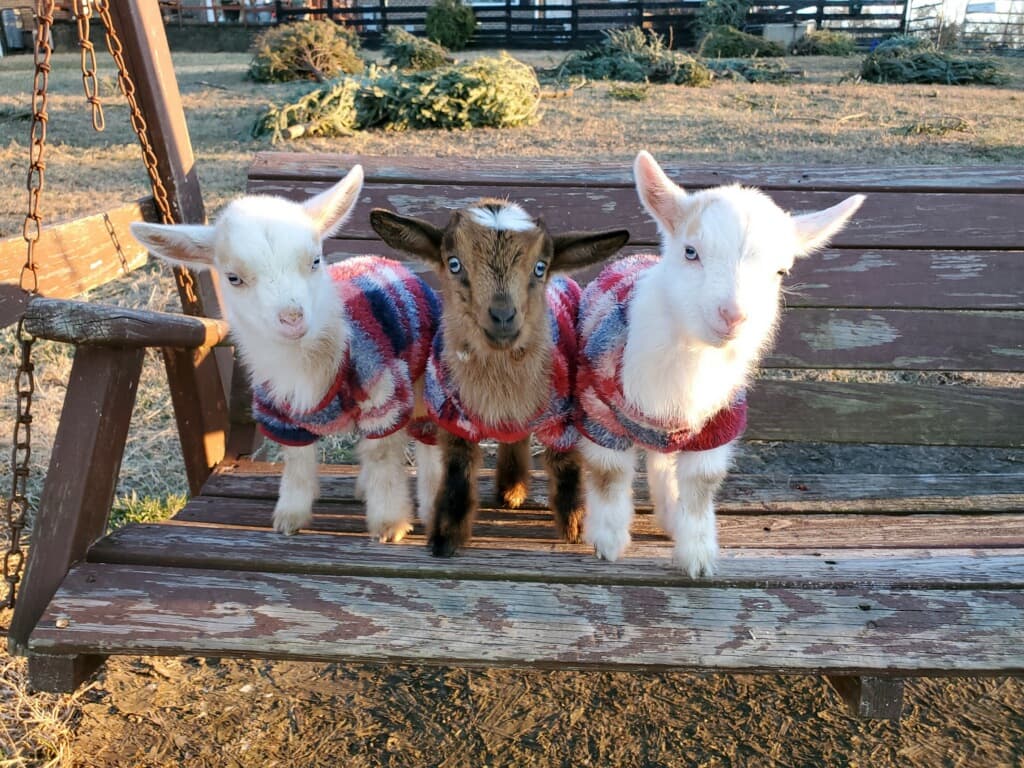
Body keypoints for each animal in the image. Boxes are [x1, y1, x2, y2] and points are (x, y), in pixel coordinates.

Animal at [130, 166, 443, 543]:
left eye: (315, 260)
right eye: (233, 277)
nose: (292, 318)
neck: (306, 361)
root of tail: (383, 259)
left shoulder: (382, 393)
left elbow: (384, 455)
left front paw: (389, 524)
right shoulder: (278, 410)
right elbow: (297, 463)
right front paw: (290, 518)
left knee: (426, 441)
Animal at [371, 200, 629, 556]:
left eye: (540, 267)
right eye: (454, 263)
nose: (503, 317)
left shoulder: (562, 414)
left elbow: (565, 464)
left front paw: (575, 525)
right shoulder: (453, 417)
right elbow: (458, 473)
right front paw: (445, 538)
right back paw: (510, 489)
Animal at [576, 151, 864, 577]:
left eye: (781, 271)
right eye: (690, 252)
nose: (734, 316)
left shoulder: (719, 420)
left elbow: (702, 483)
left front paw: (696, 556)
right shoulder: (598, 409)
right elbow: (609, 474)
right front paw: (607, 542)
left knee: (662, 461)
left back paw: (669, 514)